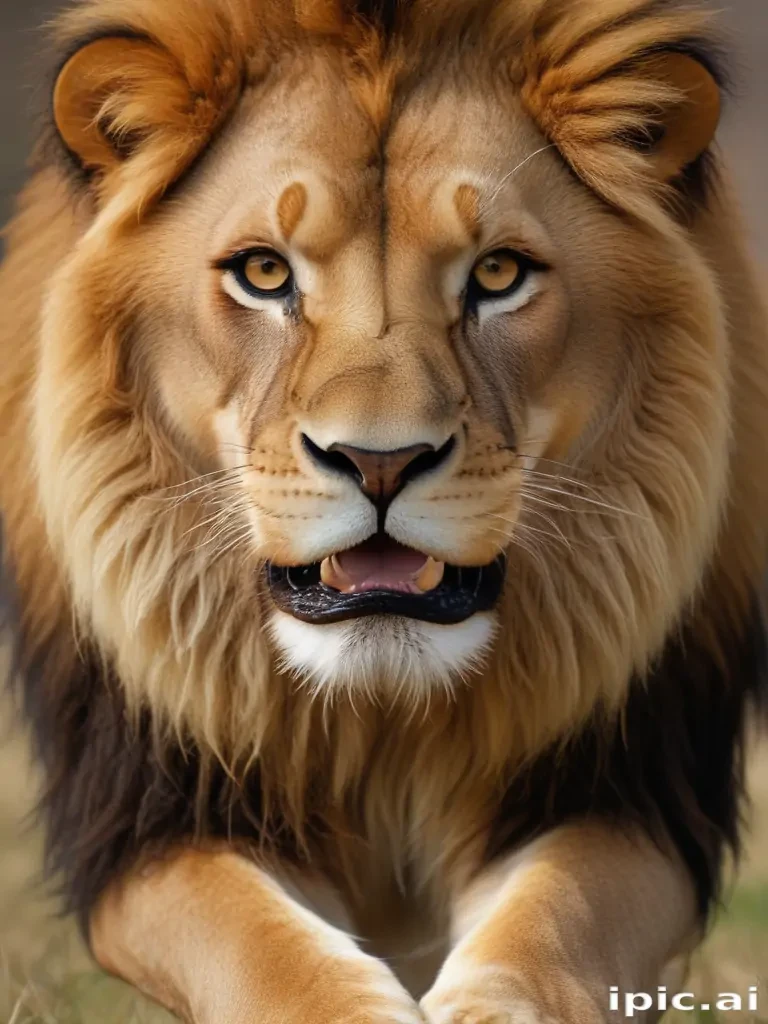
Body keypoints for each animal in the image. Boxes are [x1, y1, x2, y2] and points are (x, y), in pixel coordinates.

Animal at [1, 0, 767, 1020]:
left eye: (498, 274)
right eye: (263, 273)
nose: (379, 462)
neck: (383, 714)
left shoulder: (626, 790)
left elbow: (551, 920)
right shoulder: (151, 812)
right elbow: (260, 945)